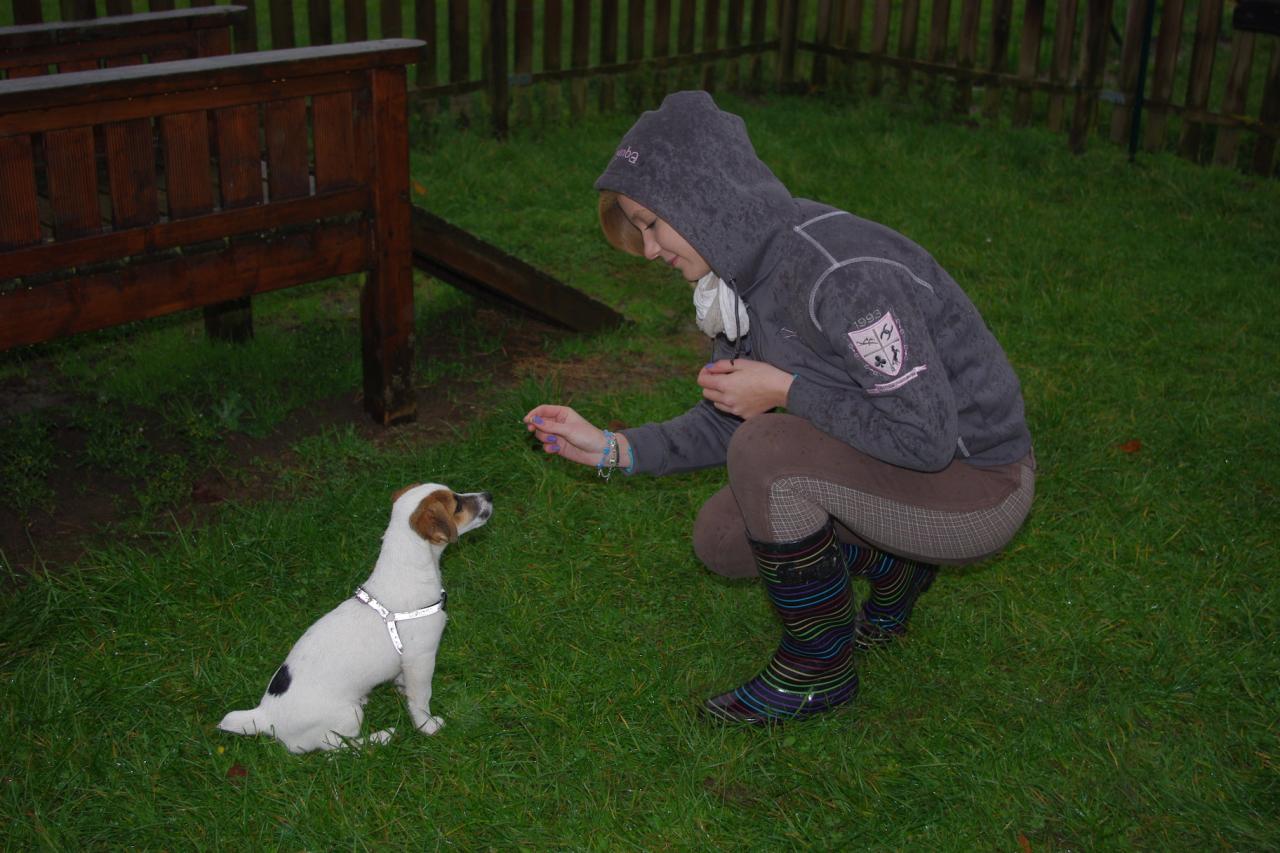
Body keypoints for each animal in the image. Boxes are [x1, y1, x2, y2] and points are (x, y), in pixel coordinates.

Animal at [220, 481, 488, 753]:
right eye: (457, 505)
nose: (488, 495)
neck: (406, 570)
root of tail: (265, 717)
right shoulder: (421, 658)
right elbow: (421, 698)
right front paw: (427, 726)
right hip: (348, 716)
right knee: (340, 748)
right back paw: (382, 736)